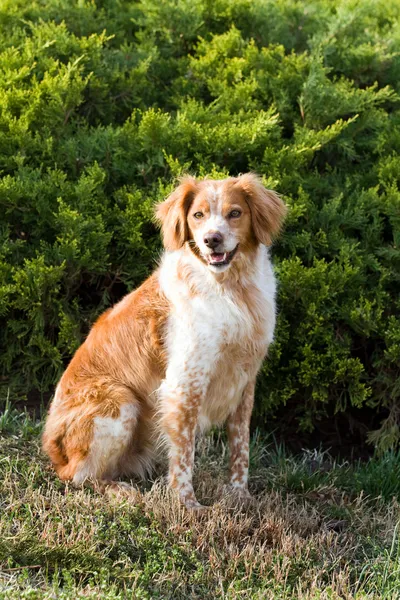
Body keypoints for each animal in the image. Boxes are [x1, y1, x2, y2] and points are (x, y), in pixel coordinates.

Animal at [42, 172, 286, 506]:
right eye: (198, 215)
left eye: (235, 213)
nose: (211, 239)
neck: (231, 288)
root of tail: (50, 445)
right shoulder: (184, 381)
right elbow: (184, 453)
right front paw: (188, 505)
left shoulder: (245, 380)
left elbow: (241, 447)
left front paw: (239, 495)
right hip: (120, 400)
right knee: (78, 475)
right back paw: (120, 490)